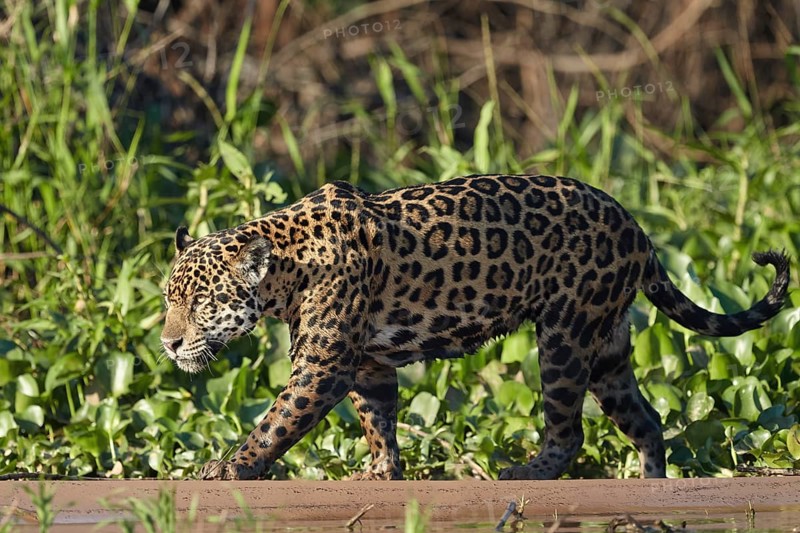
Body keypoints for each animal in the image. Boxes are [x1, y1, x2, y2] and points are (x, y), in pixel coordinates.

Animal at [160, 174, 789, 481]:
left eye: (200, 302)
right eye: (169, 299)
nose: (168, 342)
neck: (286, 266)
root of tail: (637, 227)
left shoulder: (323, 365)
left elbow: (277, 421)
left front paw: (234, 466)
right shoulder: (367, 363)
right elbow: (378, 419)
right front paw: (382, 472)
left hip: (563, 336)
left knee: (569, 430)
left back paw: (527, 474)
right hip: (607, 344)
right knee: (646, 418)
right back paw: (651, 482)